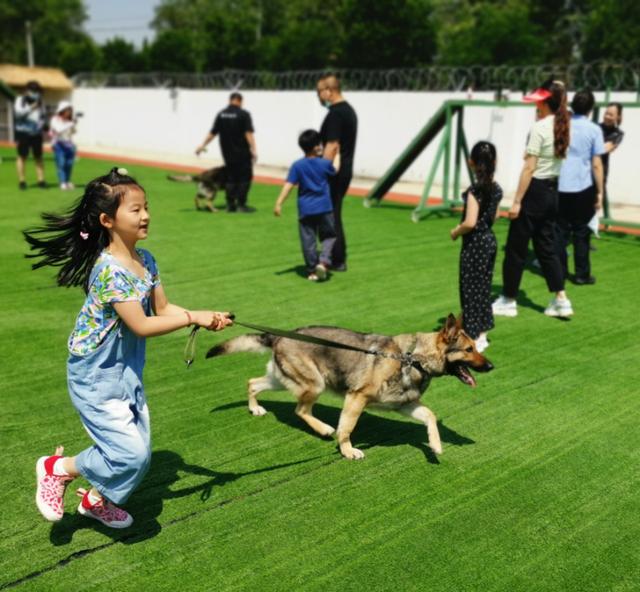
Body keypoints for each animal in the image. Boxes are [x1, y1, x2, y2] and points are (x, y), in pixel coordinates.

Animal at [208, 314, 492, 458]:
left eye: (476, 348)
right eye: (469, 350)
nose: (491, 366)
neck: (413, 358)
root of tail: (278, 336)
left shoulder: (405, 405)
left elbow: (430, 416)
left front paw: (435, 445)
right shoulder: (357, 398)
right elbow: (347, 427)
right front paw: (347, 451)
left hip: (282, 380)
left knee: (253, 383)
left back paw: (255, 408)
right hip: (315, 384)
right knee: (300, 410)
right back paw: (323, 429)